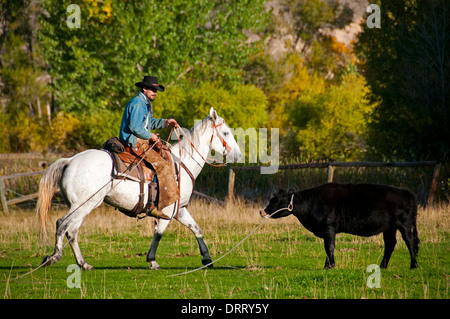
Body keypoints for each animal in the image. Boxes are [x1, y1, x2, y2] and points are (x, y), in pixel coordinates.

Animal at [36, 107, 243, 270]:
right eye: (226, 133)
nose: (239, 155)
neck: (182, 163)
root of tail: (70, 160)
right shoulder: (167, 210)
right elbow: (158, 234)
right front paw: (152, 261)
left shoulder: (180, 209)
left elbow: (196, 228)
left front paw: (207, 258)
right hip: (84, 204)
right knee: (63, 224)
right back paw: (54, 257)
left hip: (84, 206)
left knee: (72, 231)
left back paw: (83, 263)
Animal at [258, 182, 420, 270]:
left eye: (275, 200)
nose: (261, 211)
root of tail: (406, 192)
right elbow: (328, 247)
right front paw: (327, 265)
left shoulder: (328, 227)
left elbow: (329, 246)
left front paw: (330, 266)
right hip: (389, 227)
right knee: (390, 244)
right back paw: (382, 266)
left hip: (403, 223)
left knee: (410, 241)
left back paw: (414, 265)